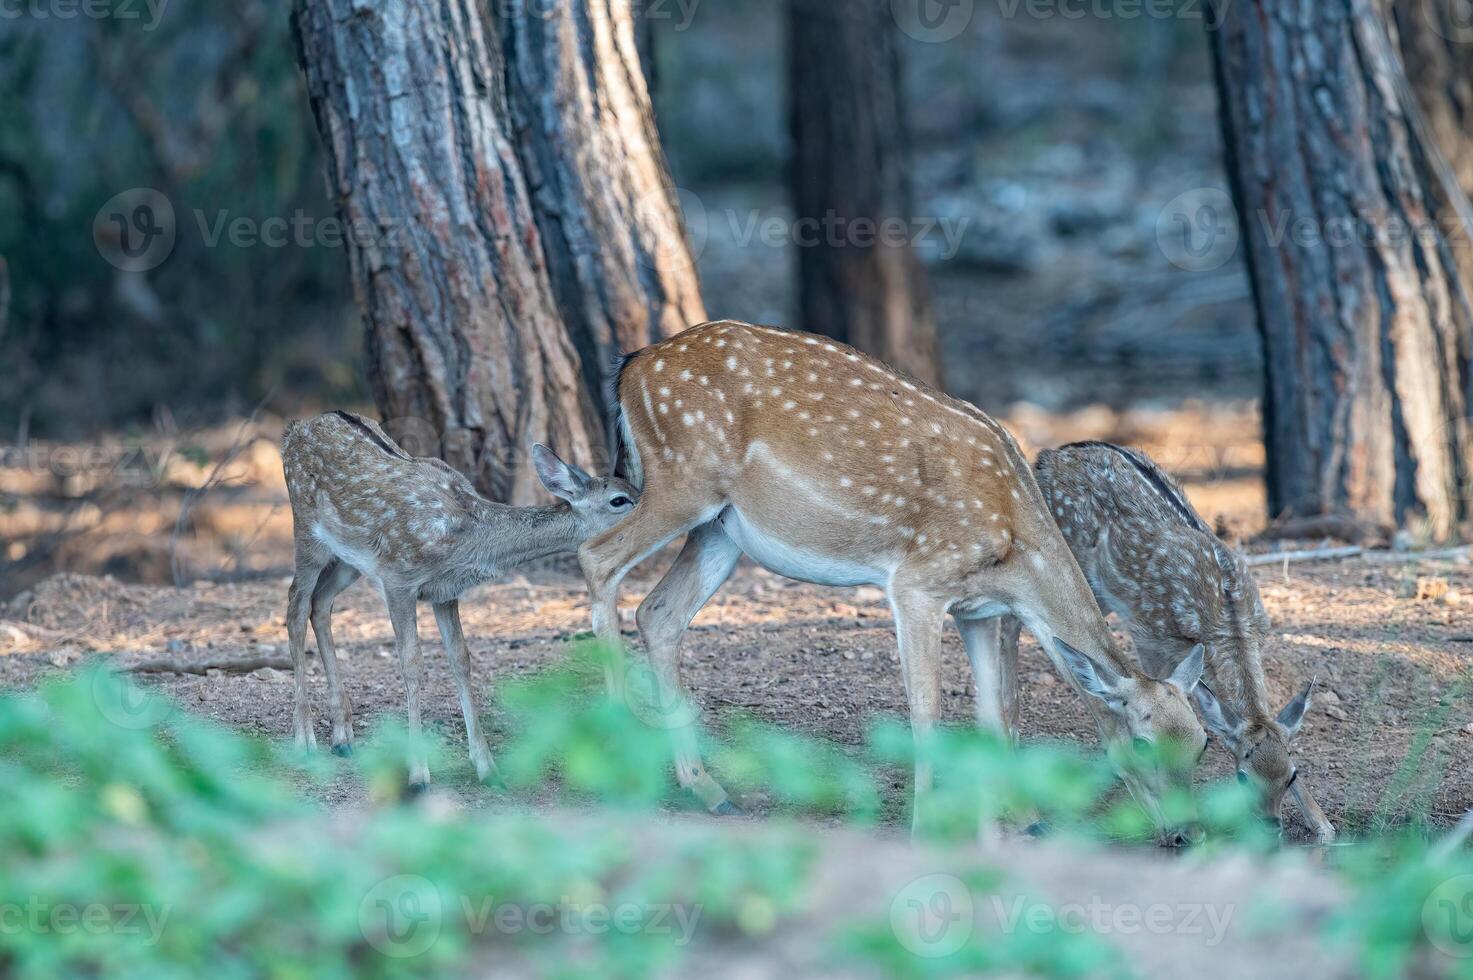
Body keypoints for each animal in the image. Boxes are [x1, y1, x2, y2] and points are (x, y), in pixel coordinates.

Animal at [281, 409, 639, 789]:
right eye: (619, 499)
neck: (465, 539)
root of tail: (293, 430)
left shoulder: (445, 591)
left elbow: (461, 660)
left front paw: (487, 767)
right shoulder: (398, 579)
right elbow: (412, 664)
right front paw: (418, 775)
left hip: (349, 558)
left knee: (320, 604)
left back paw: (343, 737)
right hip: (306, 531)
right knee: (295, 606)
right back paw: (305, 742)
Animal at [574, 321, 1207, 842]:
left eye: (1201, 744)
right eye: (1145, 742)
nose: (1186, 833)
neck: (1014, 550)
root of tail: (632, 365)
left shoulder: (979, 610)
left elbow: (996, 712)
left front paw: (1026, 821)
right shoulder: (919, 583)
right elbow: (927, 707)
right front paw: (928, 823)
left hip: (721, 529)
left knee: (659, 612)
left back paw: (708, 790)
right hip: (683, 483)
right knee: (597, 556)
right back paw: (612, 759)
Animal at [1025, 439, 1337, 837]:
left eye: (1292, 776)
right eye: (1242, 777)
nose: (1271, 827)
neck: (1229, 622)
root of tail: (1047, 457)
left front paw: (1323, 825)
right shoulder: (1150, 634)